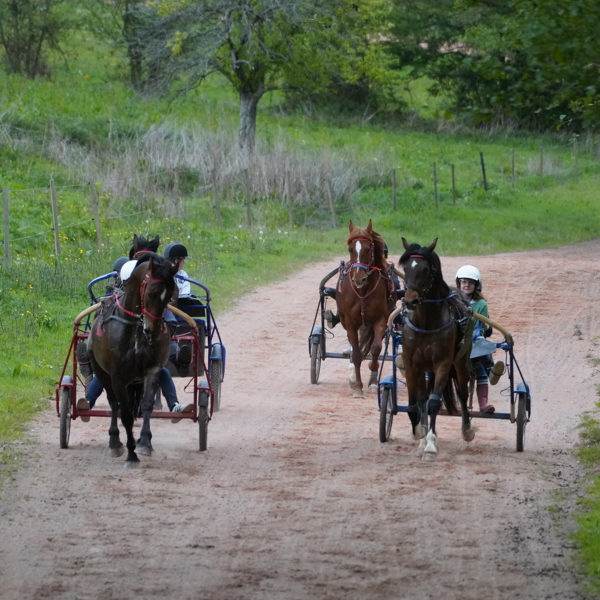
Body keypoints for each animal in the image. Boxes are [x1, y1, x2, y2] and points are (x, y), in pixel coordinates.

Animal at [86, 237, 177, 466]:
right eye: (151, 293)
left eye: (169, 296)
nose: (153, 330)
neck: (135, 329)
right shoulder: (118, 376)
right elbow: (125, 412)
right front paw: (131, 453)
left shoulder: (152, 370)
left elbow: (146, 405)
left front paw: (144, 443)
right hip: (102, 372)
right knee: (114, 403)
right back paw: (115, 442)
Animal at [338, 220, 398, 398]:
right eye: (350, 249)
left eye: (367, 248)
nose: (359, 278)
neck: (362, 292)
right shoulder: (351, 323)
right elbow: (356, 354)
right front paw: (358, 386)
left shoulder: (380, 320)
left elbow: (376, 348)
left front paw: (373, 375)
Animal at [398, 237, 474, 458]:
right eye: (406, 267)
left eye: (425, 269)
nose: (410, 301)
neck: (426, 324)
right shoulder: (412, 364)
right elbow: (415, 405)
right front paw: (420, 433)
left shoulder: (442, 363)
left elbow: (433, 403)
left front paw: (431, 444)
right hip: (426, 367)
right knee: (424, 396)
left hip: (460, 363)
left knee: (463, 393)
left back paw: (466, 430)